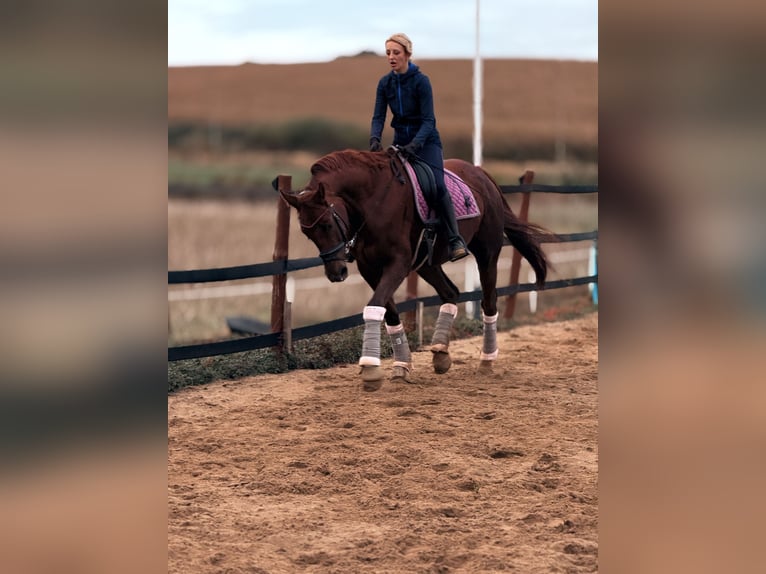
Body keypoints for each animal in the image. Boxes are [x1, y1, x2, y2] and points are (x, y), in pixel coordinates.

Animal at [279, 148, 552, 391]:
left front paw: (370, 367)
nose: (336, 273)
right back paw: (441, 353)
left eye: (326, 224)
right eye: (307, 233)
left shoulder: (398, 263)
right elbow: (387, 312)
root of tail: (480, 173)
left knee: (489, 301)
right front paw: (401, 365)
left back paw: (486, 360)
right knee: (450, 293)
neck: (373, 200)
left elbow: (374, 306)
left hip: (487, 254)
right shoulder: (370, 267)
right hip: (427, 264)